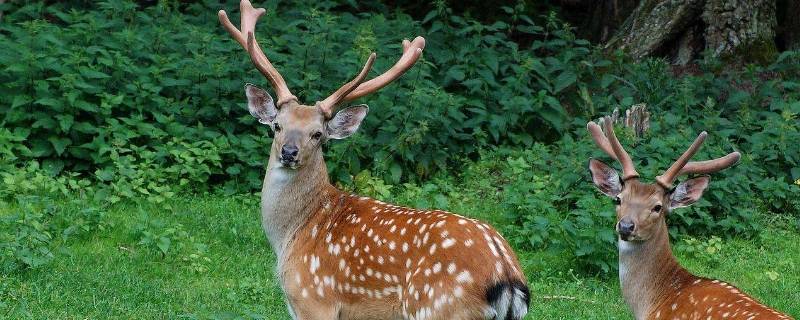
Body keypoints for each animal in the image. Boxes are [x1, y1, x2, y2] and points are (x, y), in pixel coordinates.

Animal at [219, 1, 532, 318]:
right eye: (277, 126)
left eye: (318, 134)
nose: (289, 152)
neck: (292, 234)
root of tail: (506, 276)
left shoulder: (313, 299)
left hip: (437, 305)